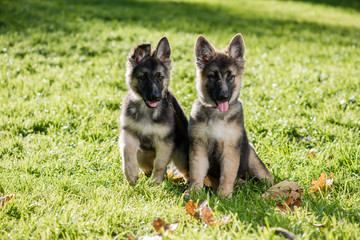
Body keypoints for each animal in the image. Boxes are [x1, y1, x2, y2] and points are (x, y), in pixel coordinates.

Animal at [119, 37, 190, 184]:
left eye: (160, 77)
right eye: (143, 77)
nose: (155, 97)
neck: (147, 111)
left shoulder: (165, 142)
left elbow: (160, 164)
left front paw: (156, 183)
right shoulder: (128, 133)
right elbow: (128, 154)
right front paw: (131, 176)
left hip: (180, 155)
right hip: (142, 155)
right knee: (146, 167)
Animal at [188, 34, 272, 199]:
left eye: (230, 77)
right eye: (213, 76)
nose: (224, 96)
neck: (217, 114)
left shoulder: (230, 150)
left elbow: (228, 175)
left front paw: (224, 196)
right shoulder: (198, 147)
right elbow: (196, 172)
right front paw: (194, 192)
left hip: (252, 160)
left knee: (267, 177)